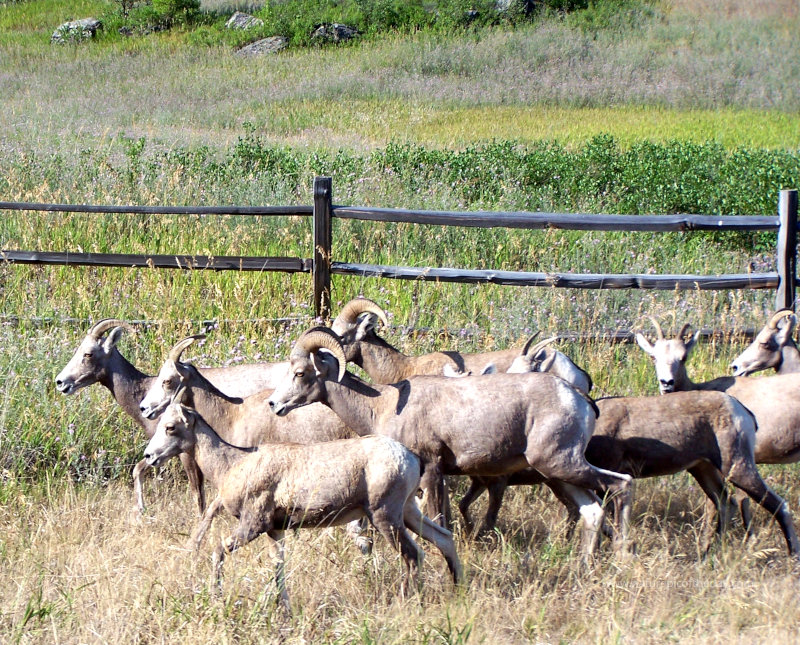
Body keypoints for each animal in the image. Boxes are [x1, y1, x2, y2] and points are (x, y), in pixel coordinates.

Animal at [143, 389, 463, 607]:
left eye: (170, 427)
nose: (149, 456)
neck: (233, 464)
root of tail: (409, 458)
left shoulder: (252, 526)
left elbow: (218, 550)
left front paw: (216, 595)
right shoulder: (275, 531)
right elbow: (278, 569)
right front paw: (284, 608)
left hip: (386, 517)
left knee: (413, 555)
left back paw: (404, 602)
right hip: (408, 512)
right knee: (444, 538)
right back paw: (458, 587)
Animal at [267, 326, 633, 556]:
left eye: (300, 373)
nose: (274, 404)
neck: (382, 405)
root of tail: (579, 397)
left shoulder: (430, 471)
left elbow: (439, 520)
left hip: (562, 464)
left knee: (621, 485)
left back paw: (620, 553)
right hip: (559, 473)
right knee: (592, 512)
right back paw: (585, 564)